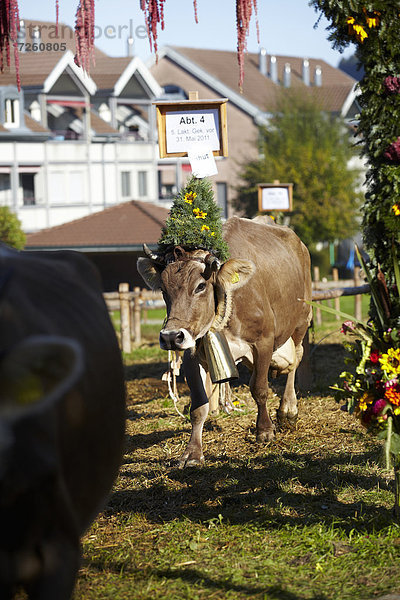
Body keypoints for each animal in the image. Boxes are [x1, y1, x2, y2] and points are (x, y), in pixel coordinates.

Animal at [139, 217, 314, 468]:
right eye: (163, 289)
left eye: (200, 286)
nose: (171, 336)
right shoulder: (191, 352)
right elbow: (199, 405)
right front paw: (192, 453)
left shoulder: (263, 341)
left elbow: (259, 388)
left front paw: (264, 431)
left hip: (301, 320)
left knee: (295, 361)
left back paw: (288, 409)